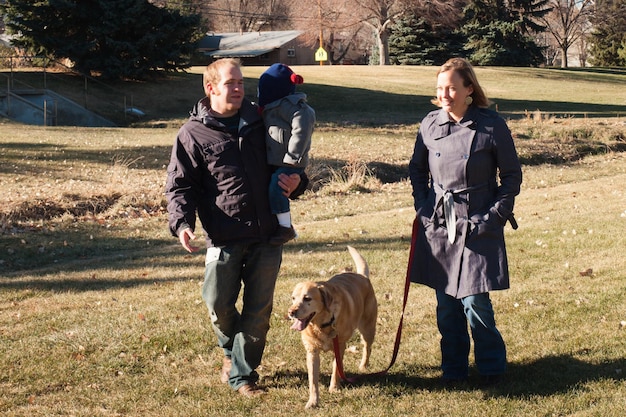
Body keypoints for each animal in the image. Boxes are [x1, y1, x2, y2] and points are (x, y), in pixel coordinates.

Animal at [288, 245, 376, 408]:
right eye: (293, 298)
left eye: (307, 298)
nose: (291, 312)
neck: (321, 325)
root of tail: (362, 276)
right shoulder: (312, 352)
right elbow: (313, 381)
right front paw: (313, 401)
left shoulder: (339, 347)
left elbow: (336, 370)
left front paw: (334, 388)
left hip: (368, 328)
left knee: (367, 347)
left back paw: (364, 366)